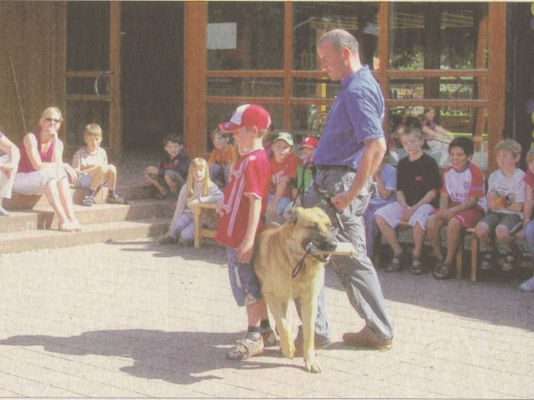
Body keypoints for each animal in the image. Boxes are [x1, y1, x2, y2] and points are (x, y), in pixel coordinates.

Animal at [254, 208, 338, 374]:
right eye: (312, 227)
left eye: (330, 226)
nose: (334, 245)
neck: (298, 261)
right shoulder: (270, 294)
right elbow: (283, 323)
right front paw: (288, 347)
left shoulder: (310, 301)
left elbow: (309, 332)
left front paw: (310, 360)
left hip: (286, 297)